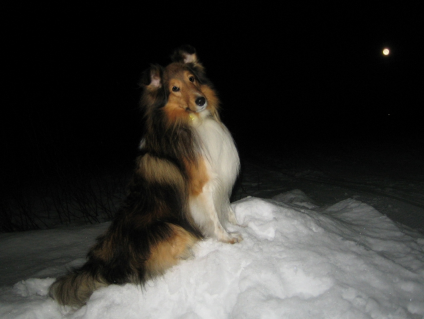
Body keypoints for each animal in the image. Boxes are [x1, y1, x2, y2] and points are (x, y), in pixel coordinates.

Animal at [48, 44, 242, 308]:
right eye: (175, 89)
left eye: (192, 79)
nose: (200, 100)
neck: (191, 121)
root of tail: (102, 264)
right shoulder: (201, 186)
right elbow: (213, 216)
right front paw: (227, 238)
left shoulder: (220, 176)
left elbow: (227, 207)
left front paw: (240, 224)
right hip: (171, 227)